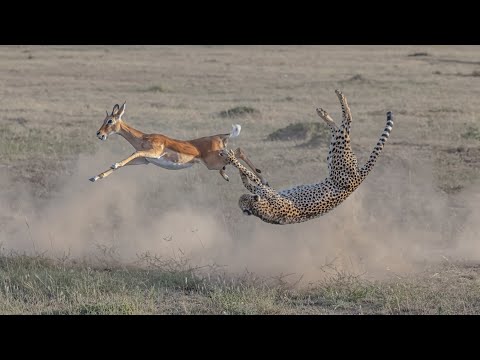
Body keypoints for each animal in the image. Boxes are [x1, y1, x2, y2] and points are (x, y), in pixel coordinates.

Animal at [220, 89, 394, 225]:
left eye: (243, 199)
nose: (249, 197)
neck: (261, 210)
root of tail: (359, 178)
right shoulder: (263, 189)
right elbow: (250, 179)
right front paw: (235, 162)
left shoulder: (264, 189)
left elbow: (250, 176)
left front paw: (232, 158)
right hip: (337, 155)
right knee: (343, 127)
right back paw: (329, 108)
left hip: (338, 156)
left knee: (345, 124)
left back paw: (333, 103)